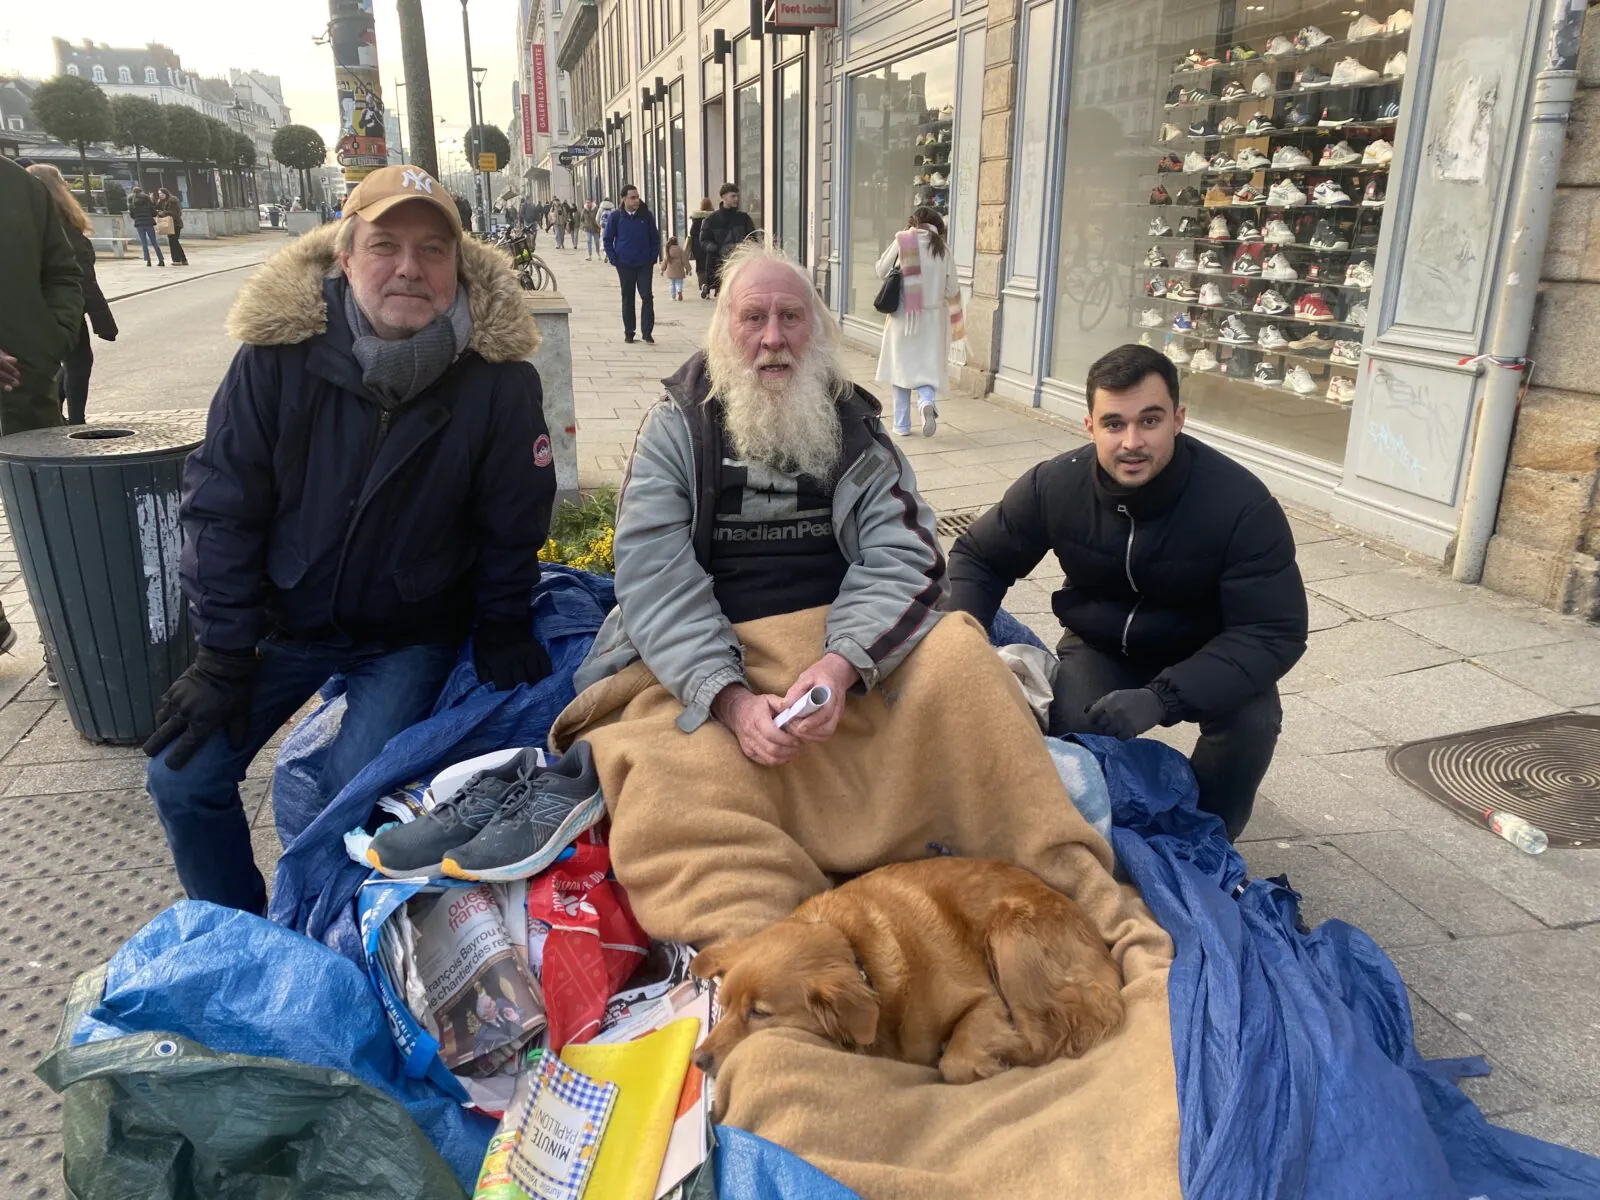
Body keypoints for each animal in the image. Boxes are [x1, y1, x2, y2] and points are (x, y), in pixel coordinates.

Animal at [691, 857, 1126, 1088]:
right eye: (722, 1006)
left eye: (759, 1013)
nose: (697, 1060)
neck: (859, 957)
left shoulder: (984, 999)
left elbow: (956, 1063)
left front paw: (982, 1057)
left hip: (1009, 937)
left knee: (1044, 1039)